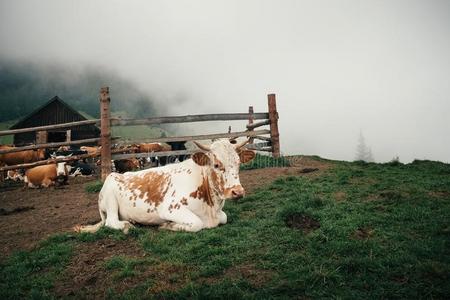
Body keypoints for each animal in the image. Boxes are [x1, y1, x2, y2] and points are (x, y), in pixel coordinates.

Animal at [75, 139, 255, 234]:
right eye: (217, 164)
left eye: (238, 163)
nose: (238, 192)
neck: (212, 207)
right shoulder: (170, 209)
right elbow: (196, 223)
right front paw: (167, 225)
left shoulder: (219, 215)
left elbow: (224, 218)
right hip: (110, 199)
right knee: (111, 222)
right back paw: (127, 225)